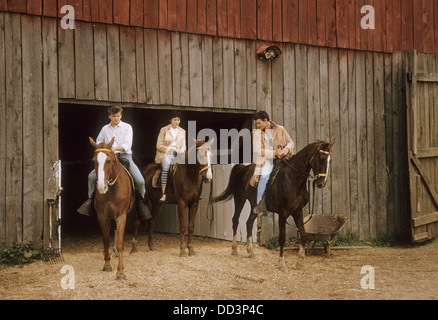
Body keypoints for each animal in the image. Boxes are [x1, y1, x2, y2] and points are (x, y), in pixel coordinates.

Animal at [89, 136, 137, 278]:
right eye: (94, 160)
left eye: (108, 160)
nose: (101, 187)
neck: (111, 190)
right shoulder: (102, 216)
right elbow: (106, 240)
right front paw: (107, 264)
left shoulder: (121, 216)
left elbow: (121, 242)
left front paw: (120, 271)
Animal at [212, 139, 336, 272]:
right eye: (322, 158)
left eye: (330, 160)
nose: (321, 183)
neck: (293, 179)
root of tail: (243, 167)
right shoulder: (283, 213)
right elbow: (282, 238)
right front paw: (282, 263)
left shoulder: (297, 211)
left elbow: (303, 235)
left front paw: (300, 262)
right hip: (239, 198)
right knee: (235, 220)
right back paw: (234, 249)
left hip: (254, 205)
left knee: (249, 222)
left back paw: (250, 251)